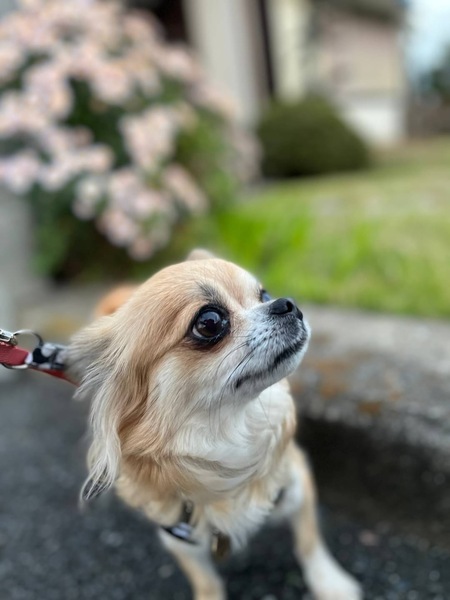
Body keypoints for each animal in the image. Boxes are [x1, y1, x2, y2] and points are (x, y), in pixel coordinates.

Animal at [67, 249, 361, 600]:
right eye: (209, 323)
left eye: (264, 295)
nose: (286, 303)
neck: (230, 436)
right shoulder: (179, 531)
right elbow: (206, 580)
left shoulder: (295, 481)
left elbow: (309, 542)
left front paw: (330, 583)